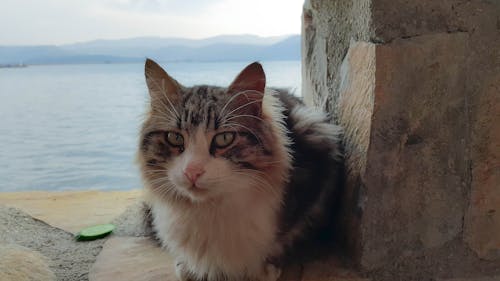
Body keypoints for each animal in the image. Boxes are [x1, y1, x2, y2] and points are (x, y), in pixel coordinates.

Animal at [139, 59, 344, 280]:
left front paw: (264, 269)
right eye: (174, 137)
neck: (209, 209)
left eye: (224, 138)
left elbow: (282, 238)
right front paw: (187, 267)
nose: (192, 171)